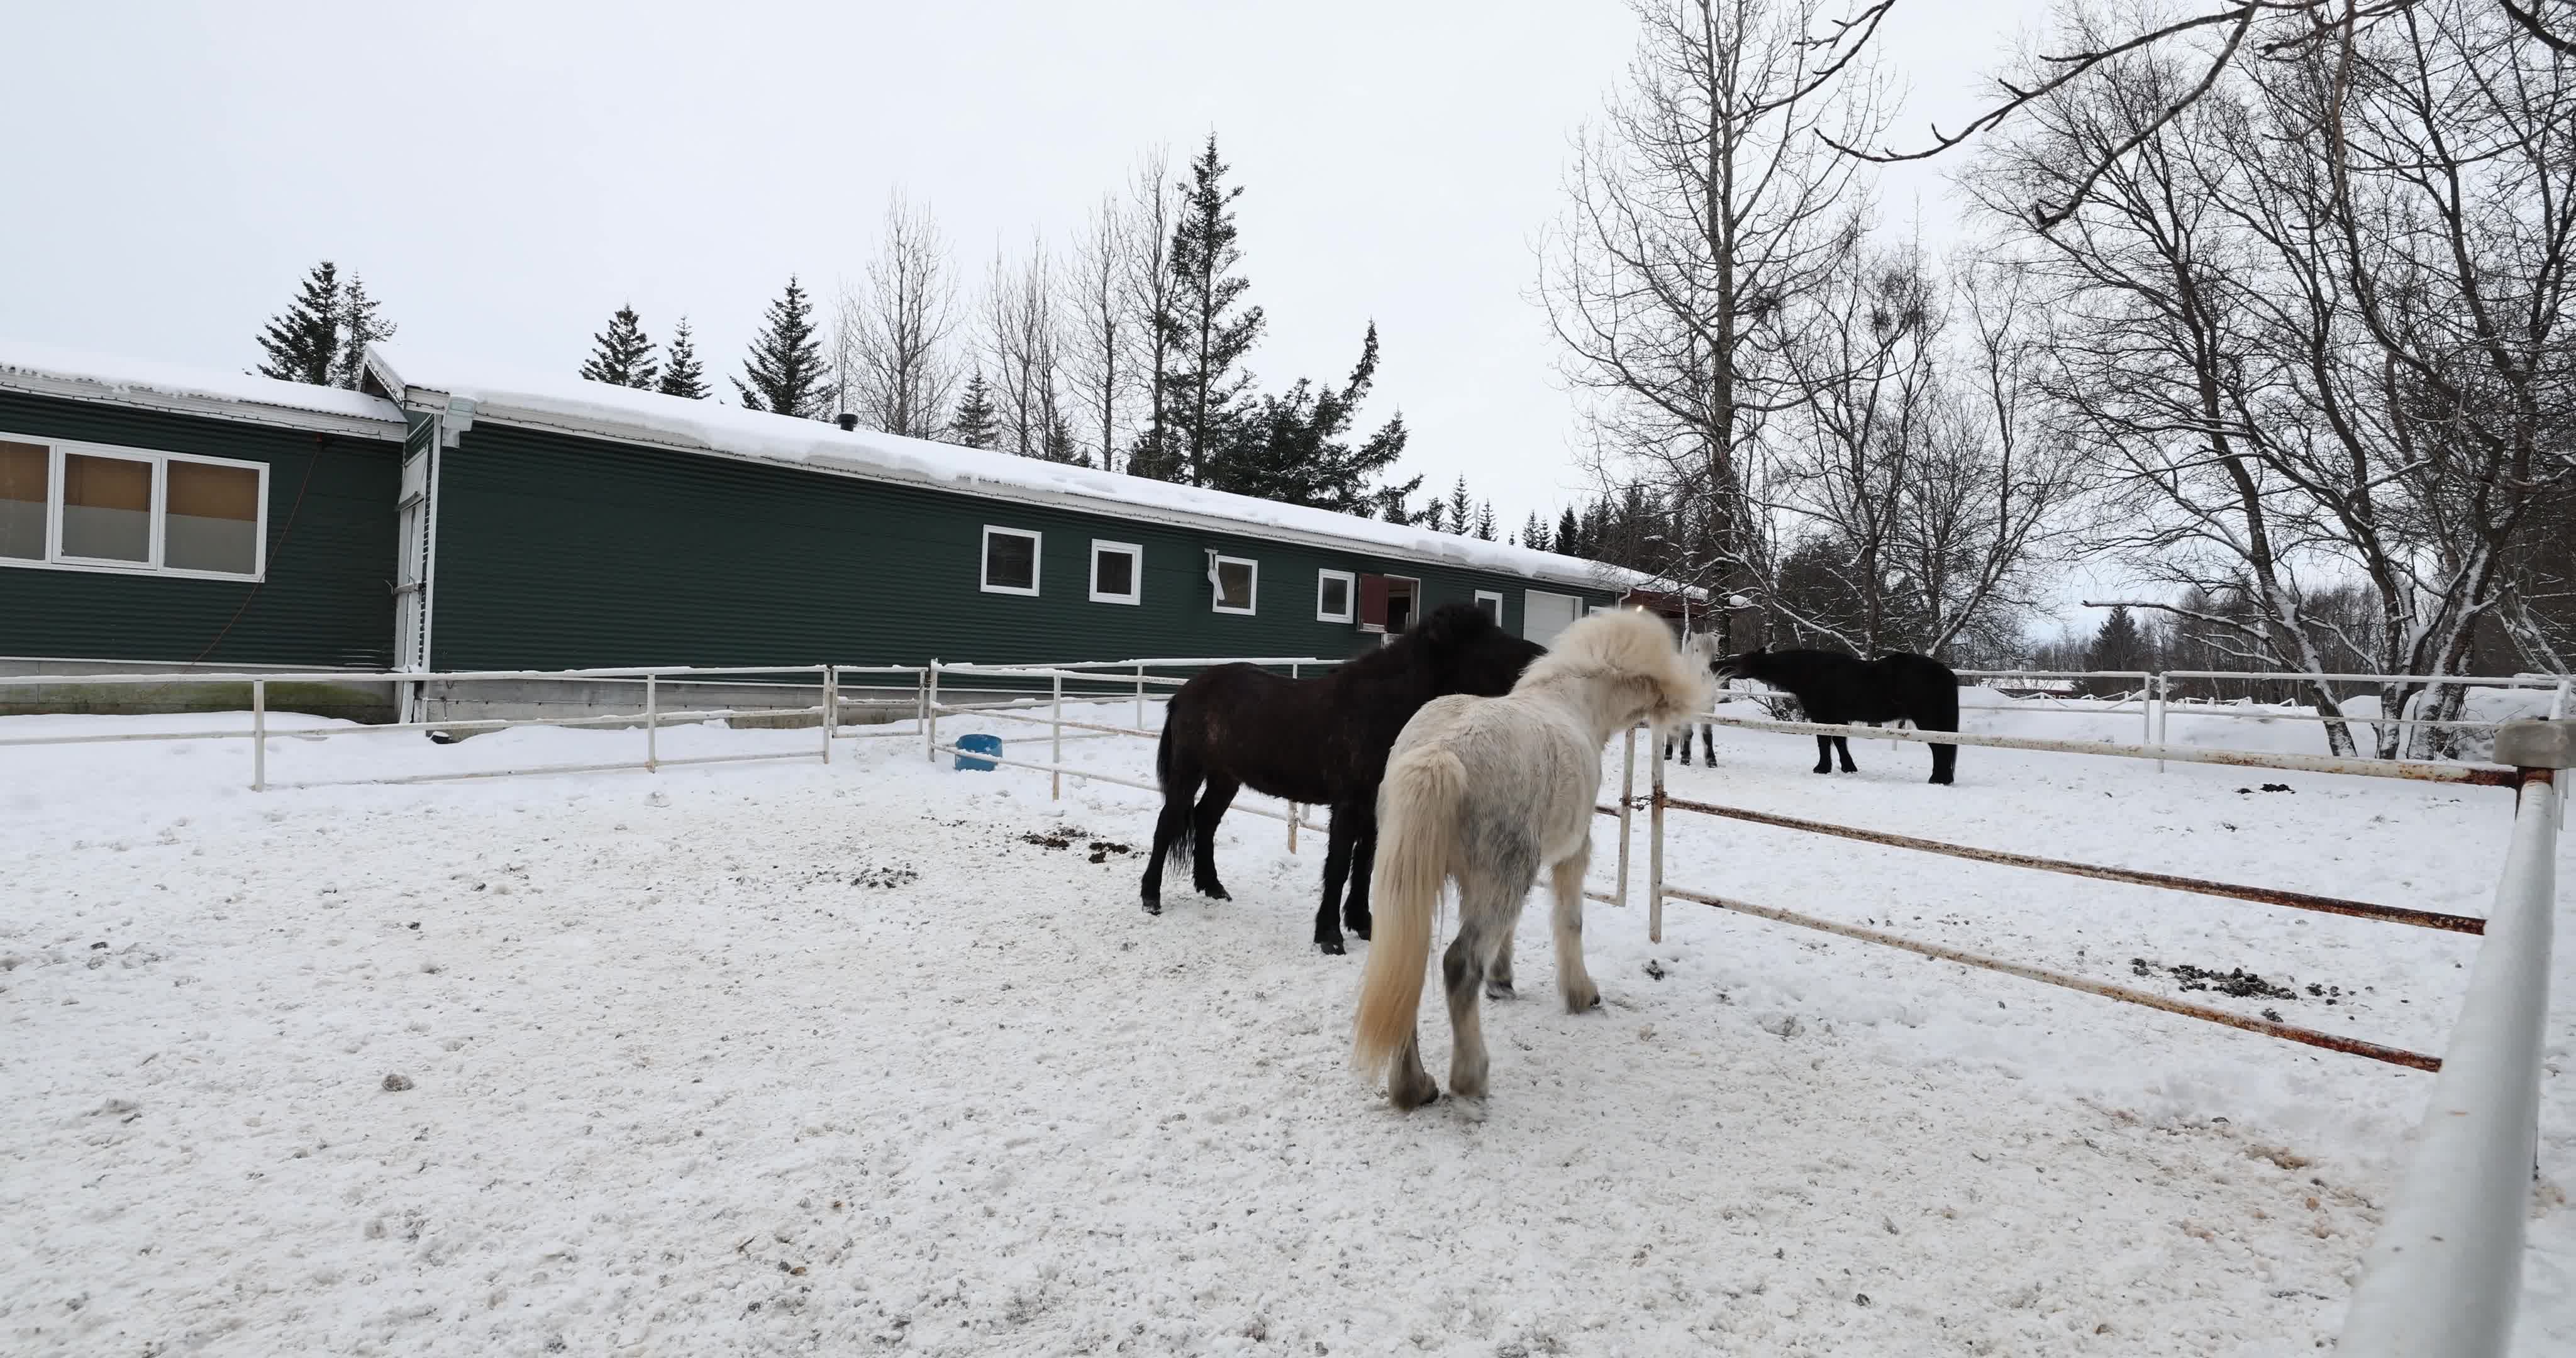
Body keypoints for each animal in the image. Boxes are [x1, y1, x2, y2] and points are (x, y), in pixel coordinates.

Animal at [1141, 603, 1546, 954]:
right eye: (1476, 638)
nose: (1538, 657)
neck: (1379, 709)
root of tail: (1186, 690)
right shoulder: (1349, 806)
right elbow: (1337, 867)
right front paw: (1329, 936)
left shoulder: (1374, 809)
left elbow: (1364, 866)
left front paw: (1362, 924)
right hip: (1188, 772)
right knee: (1168, 823)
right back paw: (1151, 897)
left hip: (1226, 778)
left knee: (1205, 821)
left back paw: (1212, 887)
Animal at [1350, 608, 1714, 1110]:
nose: (1686, 726)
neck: (1576, 703)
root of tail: (1441, 753)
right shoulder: (1568, 856)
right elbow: (1570, 922)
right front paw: (1582, 995)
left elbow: (1511, 926)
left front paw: (1502, 981)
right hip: (1497, 876)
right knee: (1458, 965)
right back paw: (1470, 1079)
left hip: (1415, 885)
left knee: (1407, 964)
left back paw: (1414, 1086)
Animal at [1713, 646, 1960, 784]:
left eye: (1740, 661)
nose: (1716, 664)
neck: (1813, 672)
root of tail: (1946, 674)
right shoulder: (1837, 718)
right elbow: (1840, 741)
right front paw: (1848, 767)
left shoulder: (1822, 716)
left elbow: (1824, 741)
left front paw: (1822, 768)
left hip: (1929, 720)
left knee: (1940, 747)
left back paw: (1938, 779)